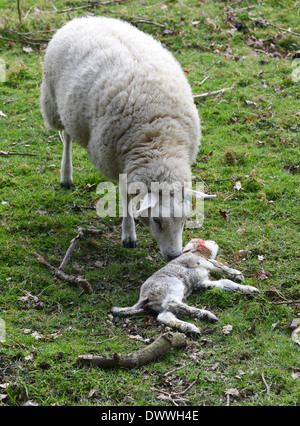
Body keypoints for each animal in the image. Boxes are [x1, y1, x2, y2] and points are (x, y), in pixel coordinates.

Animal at [40, 16, 213, 262]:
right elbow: (125, 198)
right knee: (67, 138)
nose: (173, 256)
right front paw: (128, 235)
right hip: (53, 103)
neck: (160, 143)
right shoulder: (118, 164)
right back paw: (66, 175)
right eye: (157, 220)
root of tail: (85, 18)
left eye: (185, 220)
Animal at [111, 238, 258, 334]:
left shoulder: (201, 281)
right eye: (200, 242)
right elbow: (218, 266)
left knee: (164, 316)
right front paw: (238, 274)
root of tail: (144, 297)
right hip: (173, 287)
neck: (195, 253)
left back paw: (190, 328)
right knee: (172, 304)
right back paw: (206, 316)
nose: (214, 242)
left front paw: (250, 289)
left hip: (161, 304)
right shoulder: (196, 261)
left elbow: (224, 283)